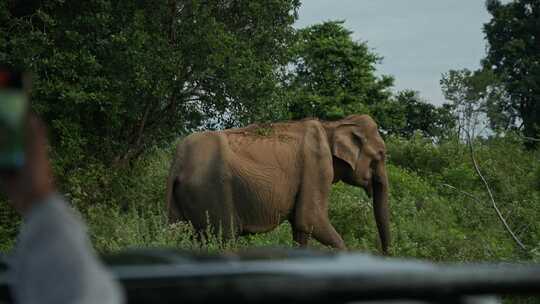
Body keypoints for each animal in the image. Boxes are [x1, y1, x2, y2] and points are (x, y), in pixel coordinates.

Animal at [167, 114, 390, 254]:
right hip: (211, 190)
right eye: (380, 155)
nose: (386, 254)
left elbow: (301, 228)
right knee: (224, 238)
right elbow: (310, 219)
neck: (333, 125)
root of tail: (178, 161)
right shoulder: (317, 164)